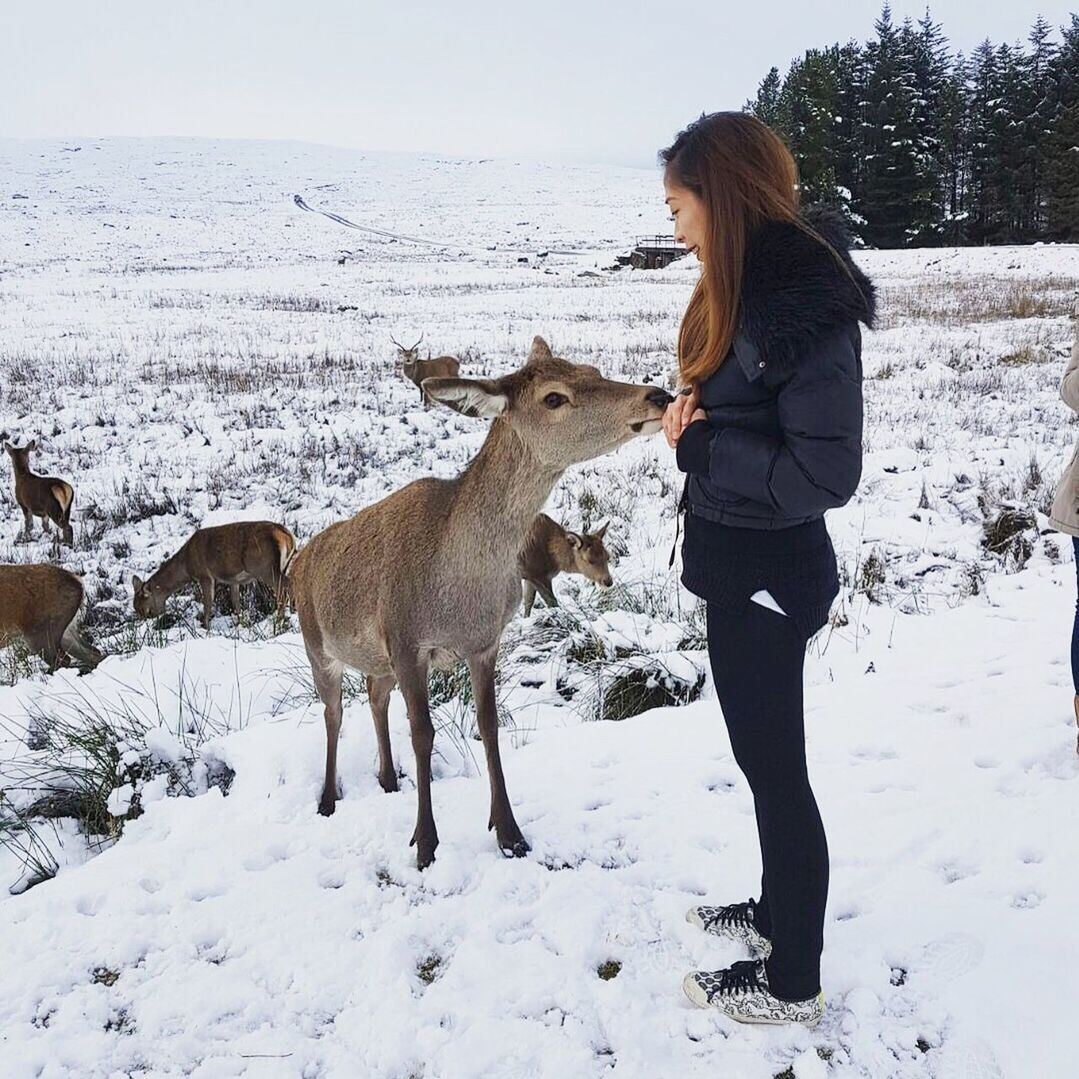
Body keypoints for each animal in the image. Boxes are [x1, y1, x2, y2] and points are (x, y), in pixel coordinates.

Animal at [132, 517, 297, 630]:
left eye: (144, 608)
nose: (144, 623)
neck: (186, 564)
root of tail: (287, 535)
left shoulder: (204, 575)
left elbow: (208, 603)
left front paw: (206, 628)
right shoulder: (233, 580)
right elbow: (236, 602)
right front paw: (240, 624)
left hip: (263, 567)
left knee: (284, 586)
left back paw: (280, 620)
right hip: (281, 565)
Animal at [291, 336, 668, 867]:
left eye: (591, 369)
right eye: (554, 397)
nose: (659, 396)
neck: (461, 589)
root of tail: (297, 560)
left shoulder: (485, 643)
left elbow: (489, 727)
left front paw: (509, 832)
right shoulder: (407, 641)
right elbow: (423, 734)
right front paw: (426, 843)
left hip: (376, 660)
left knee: (373, 694)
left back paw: (388, 780)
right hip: (316, 644)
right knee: (333, 713)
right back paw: (327, 799)